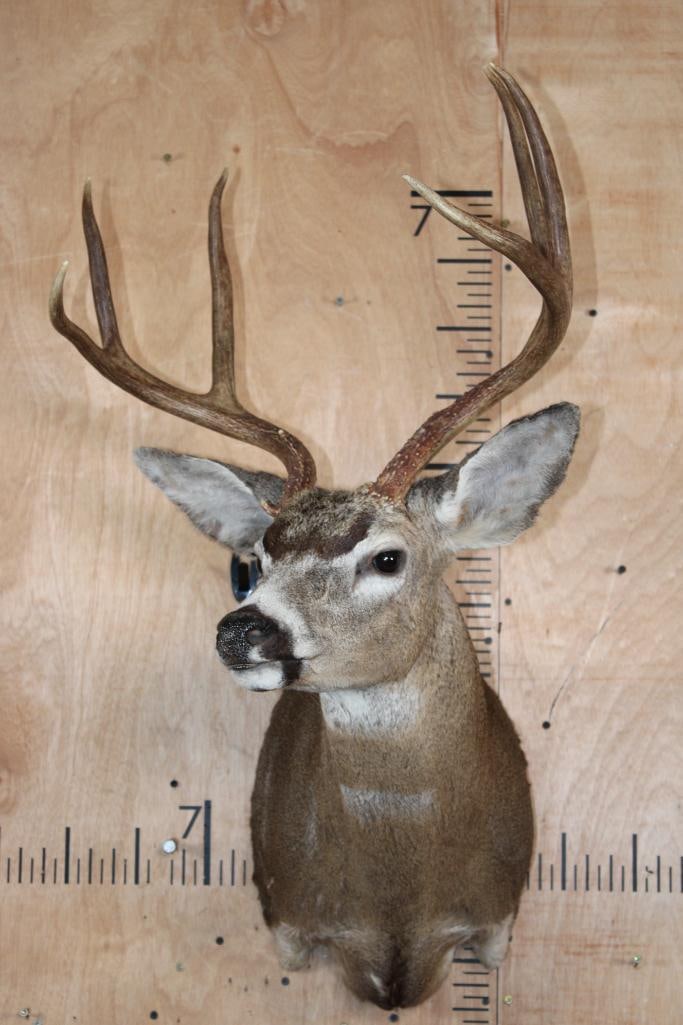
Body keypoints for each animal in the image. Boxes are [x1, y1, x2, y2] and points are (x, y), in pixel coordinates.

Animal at [50, 65, 577, 1009]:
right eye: (247, 564)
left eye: (387, 557)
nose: (243, 629)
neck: (399, 899)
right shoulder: (290, 925)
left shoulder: (496, 924)